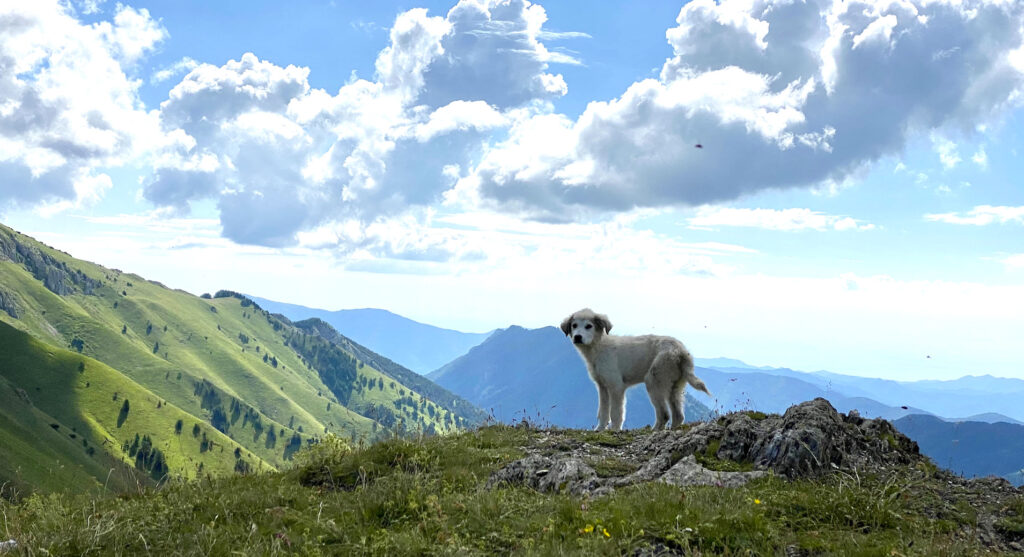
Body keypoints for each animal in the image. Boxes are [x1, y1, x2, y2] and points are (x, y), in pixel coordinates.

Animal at [561, 309, 712, 430]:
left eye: (589, 326)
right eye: (574, 326)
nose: (577, 337)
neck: (599, 347)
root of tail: (681, 351)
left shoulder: (616, 386)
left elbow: (616, 412)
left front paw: (614, 430)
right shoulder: (602, 387)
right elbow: (603, 411)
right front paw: (600, 429)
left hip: (654, 381)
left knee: (664, 414)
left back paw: (654, 430)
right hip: (674, 386)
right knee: (678, 415)